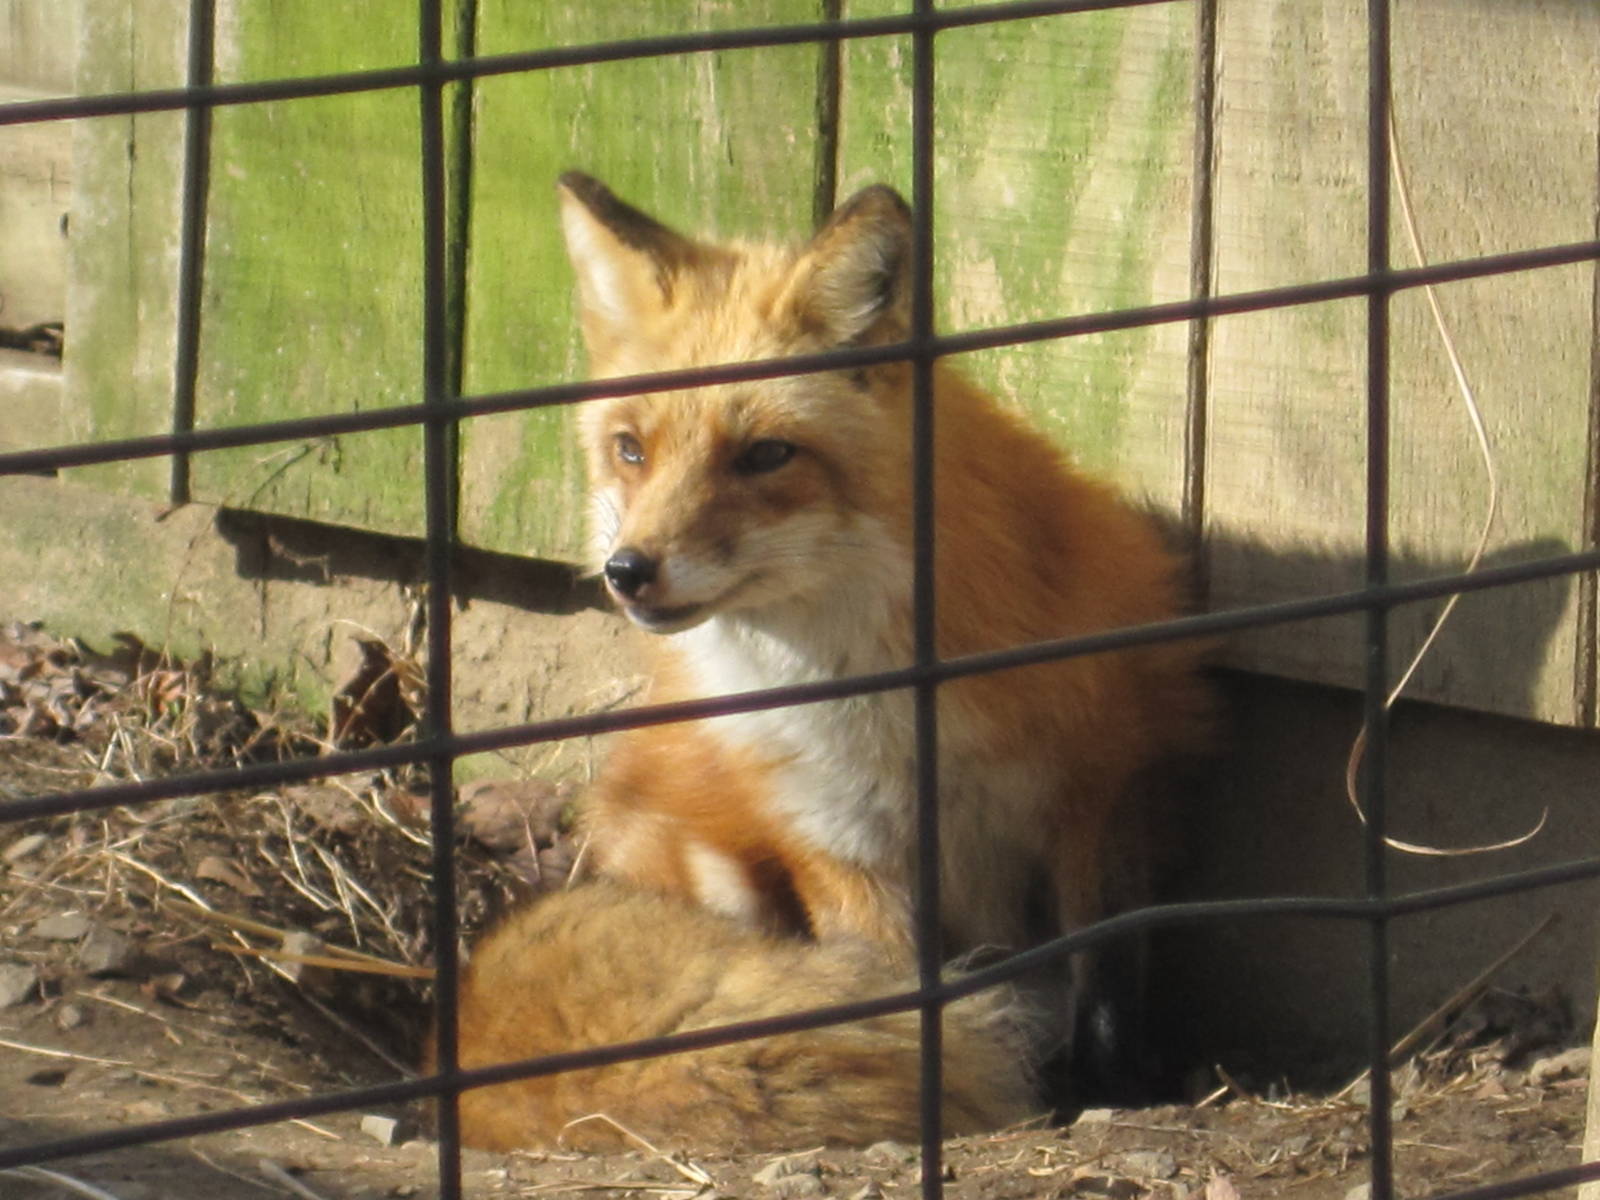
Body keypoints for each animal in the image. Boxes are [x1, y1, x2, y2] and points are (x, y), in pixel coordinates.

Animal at [557, 171, 1212, 1071]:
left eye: (765, 455)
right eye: (631, 450)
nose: (629, 571)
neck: (885, 704)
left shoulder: (1100, 792)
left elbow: (1107, 986)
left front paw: (1109, 1081)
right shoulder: (841, 839)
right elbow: (893, 990)